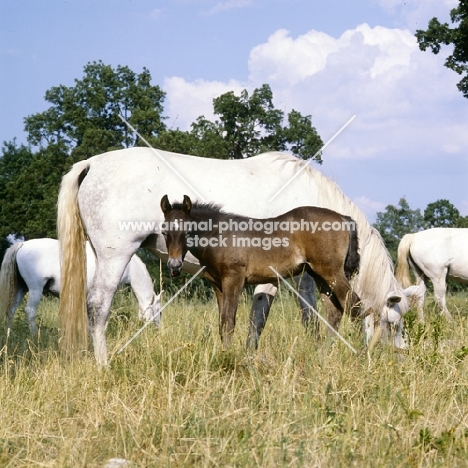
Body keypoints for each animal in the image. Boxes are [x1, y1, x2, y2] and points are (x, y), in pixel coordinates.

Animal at [0, 238, 162, 336]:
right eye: (159, 311)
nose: (157, 330)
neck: (128, 266)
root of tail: (22, 244)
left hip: (21, 289)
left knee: (11, 309)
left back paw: (9, 332)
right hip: (35, 289)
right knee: (30, 311)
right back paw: (34, 335)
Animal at [57, 148, 410, 364]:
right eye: (395, 324)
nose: (402, 359)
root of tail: (91, 164)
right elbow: (275, 316)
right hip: (115, 256)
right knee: (98, 305)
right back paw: (103, 363)